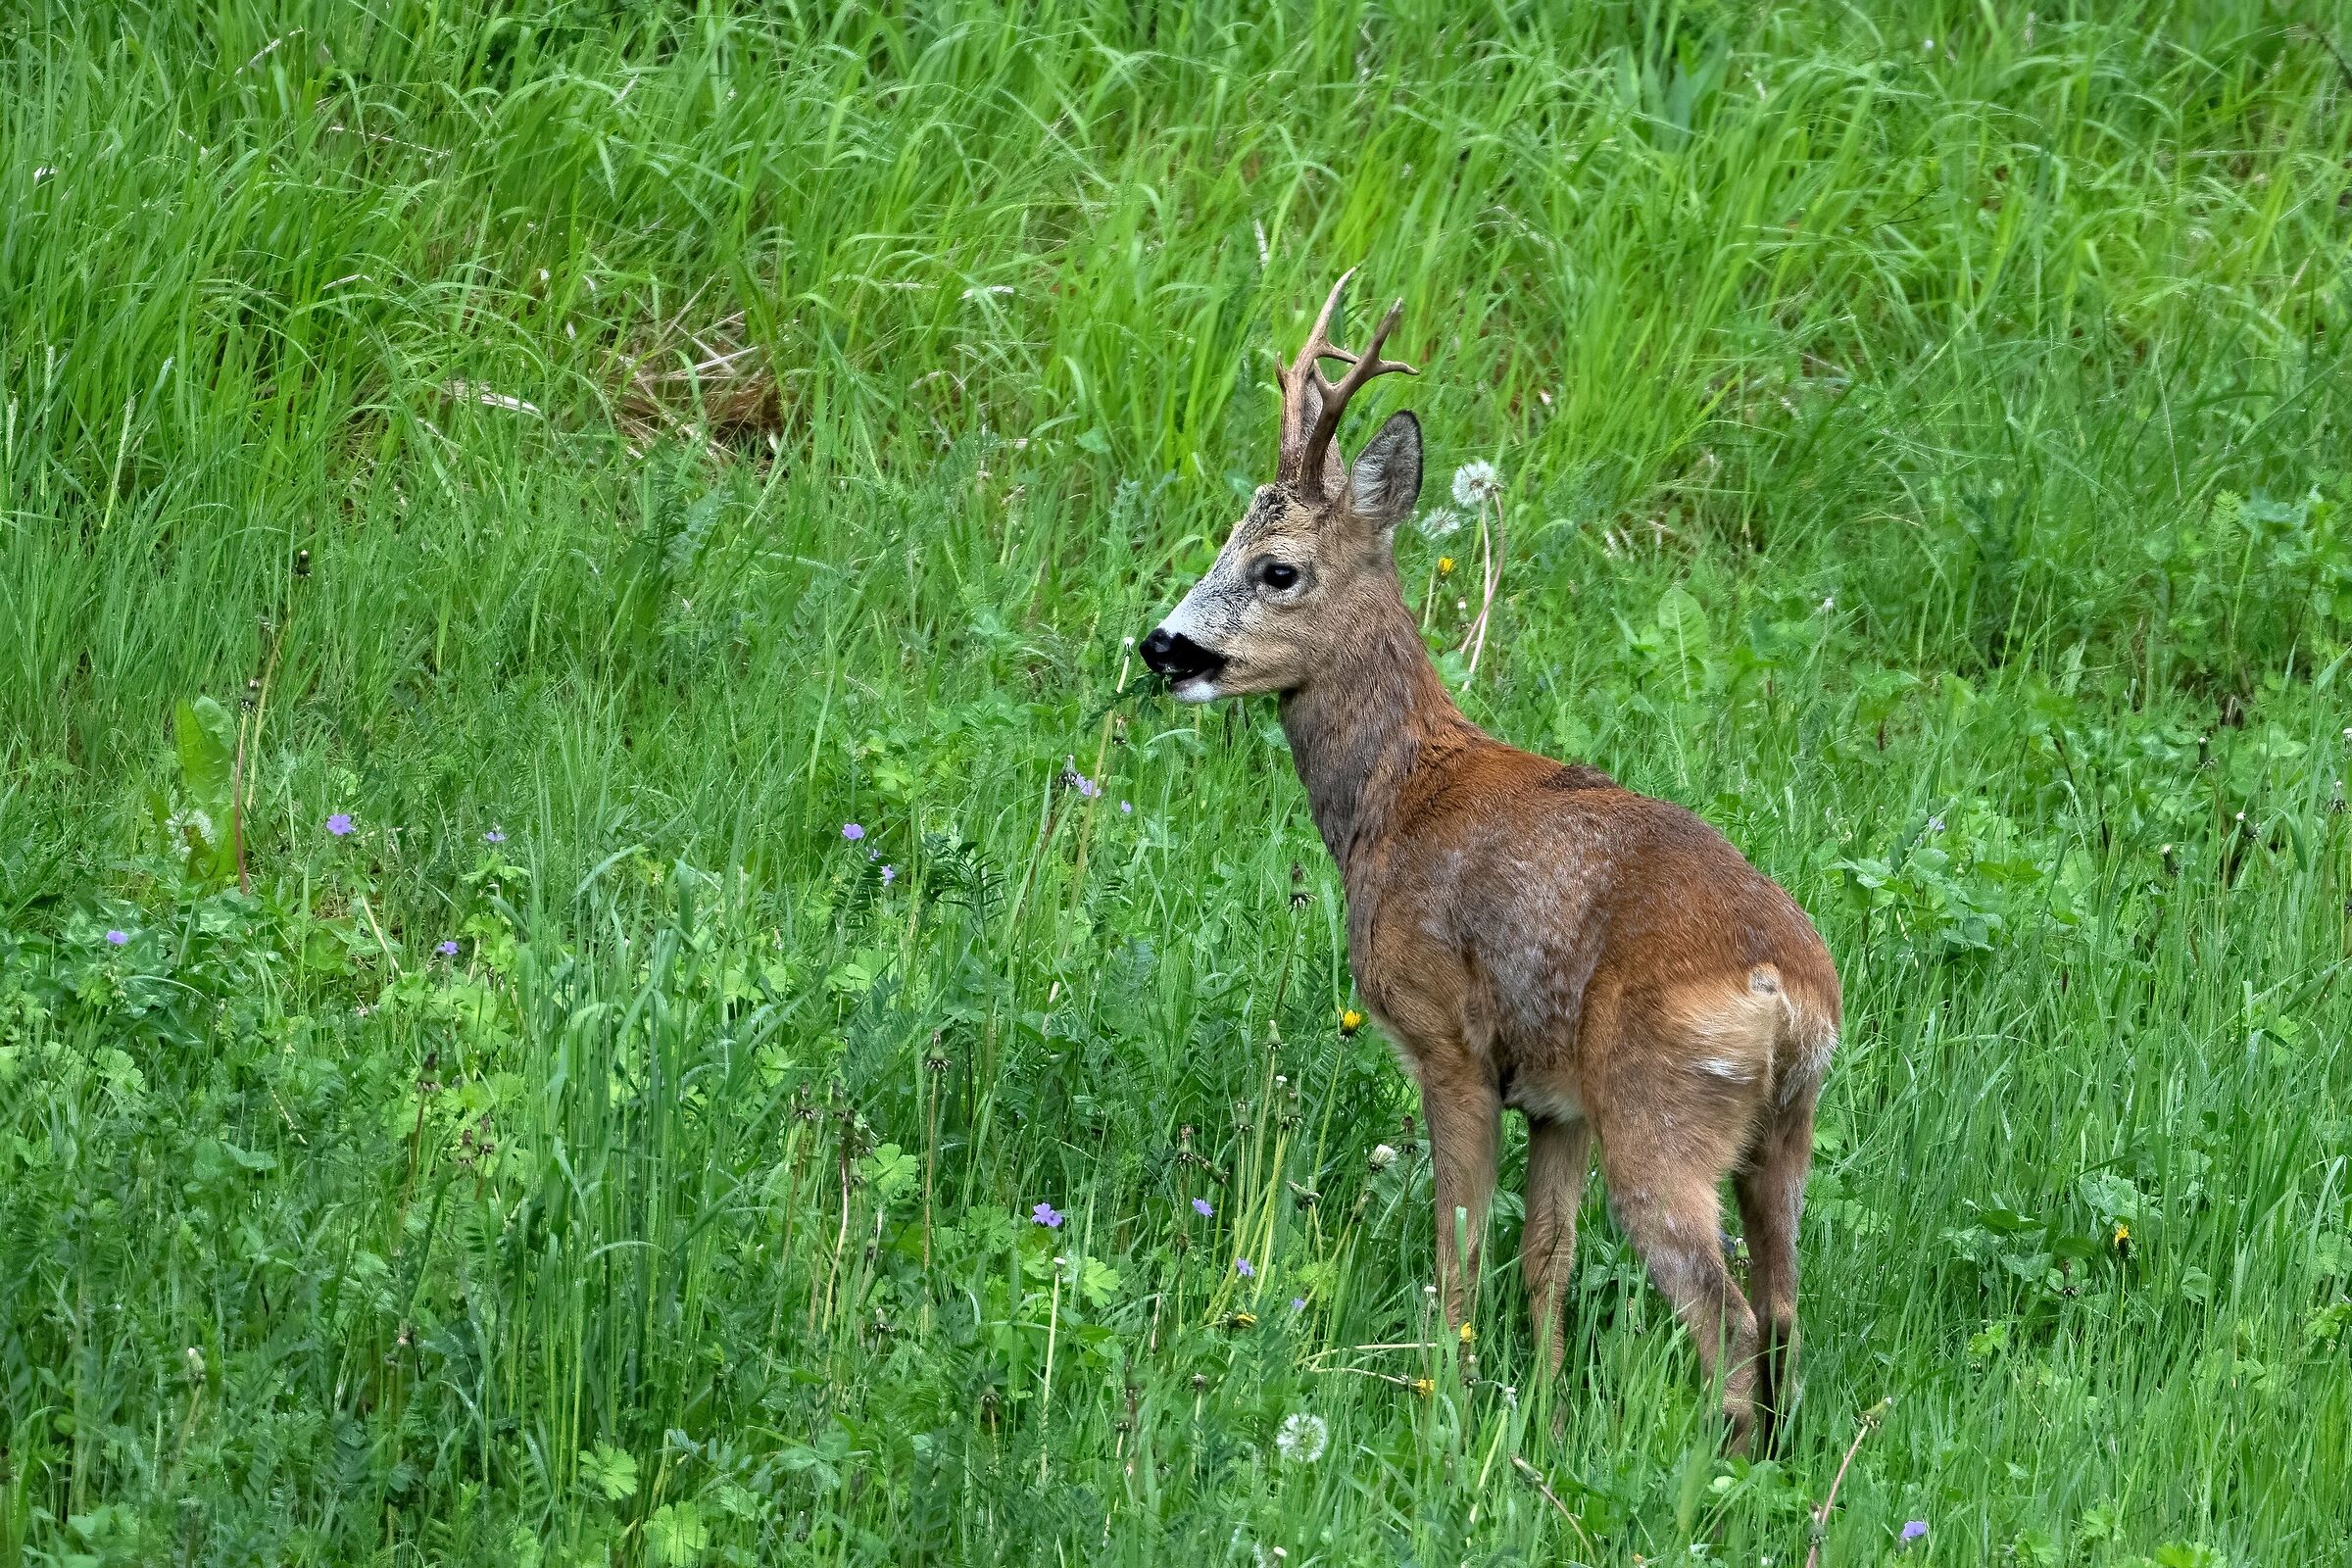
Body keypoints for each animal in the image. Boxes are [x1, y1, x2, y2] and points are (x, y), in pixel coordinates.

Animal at [1137, 272, 1841, 1452]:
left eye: (1278, 570)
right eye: (1222, 543)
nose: (1159, 646)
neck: (1393, 805)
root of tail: (1786, 993)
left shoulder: (1449, 1039)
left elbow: (1456, 1248)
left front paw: (1448, 1407)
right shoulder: (1556, 1100)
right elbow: (1542, 1259)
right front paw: (1539, 1413)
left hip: (1658, 1109)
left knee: (1728, 1312)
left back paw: (1713, 1469)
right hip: (1780, 1131)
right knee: (1784, 1302)